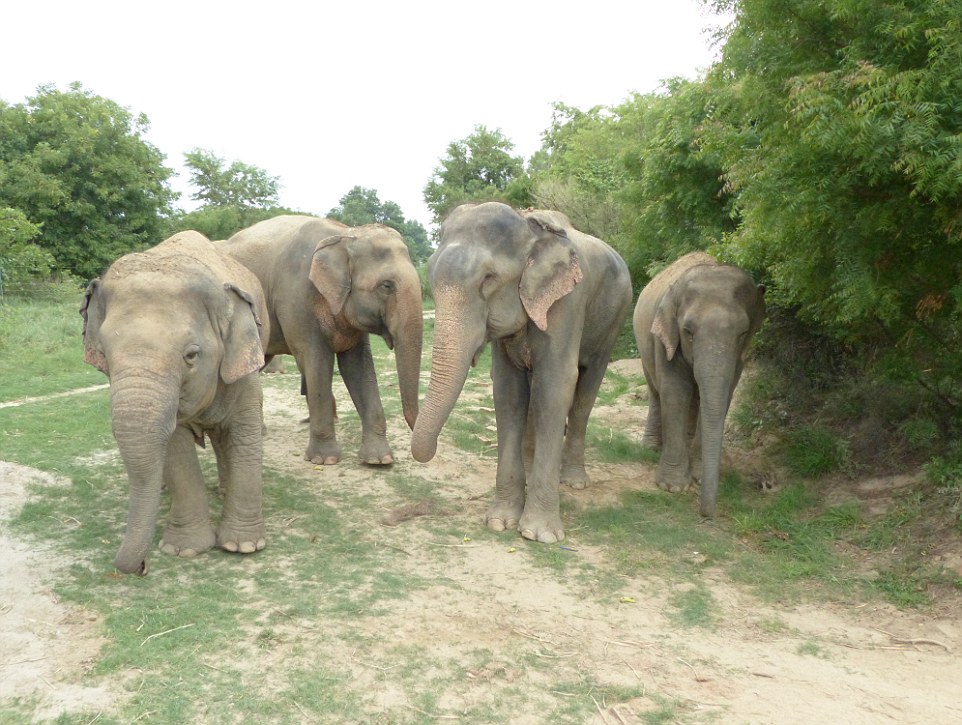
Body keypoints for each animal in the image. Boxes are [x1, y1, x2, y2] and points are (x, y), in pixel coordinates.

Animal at [79, 229, 270, 576]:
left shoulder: (244, 363)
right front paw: (184, 550)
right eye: (105, 355)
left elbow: (245, 434)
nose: (141, 566)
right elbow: (175, 449)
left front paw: (244, 547)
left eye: (191, 355)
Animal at [225, 214, 424, 464]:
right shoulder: (295, 297)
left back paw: (258, 432)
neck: (345, 235)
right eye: (386, 286)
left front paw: (379, 460)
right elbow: (316, 361)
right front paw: (324, 460)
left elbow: (357, 366)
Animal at [410, 201, 632, 540]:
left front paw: (539, 534)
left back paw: (574, 481)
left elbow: (555, 385)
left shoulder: (567, 302)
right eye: (431, 278)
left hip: (613, 321)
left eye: (488, 278)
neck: (530, 230)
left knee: (585, 391)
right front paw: (500, 522)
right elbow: (508, 391)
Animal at [632, 252, 764, 516]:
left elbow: (721, 395)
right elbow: (675, 391)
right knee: (656, 391)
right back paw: (651, 448)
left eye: (743, 334)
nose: (706, 514)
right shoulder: (665, 337)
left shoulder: (738, 356)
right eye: (688, 332)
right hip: (643, 346)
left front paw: (698, 477)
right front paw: (672, 486)